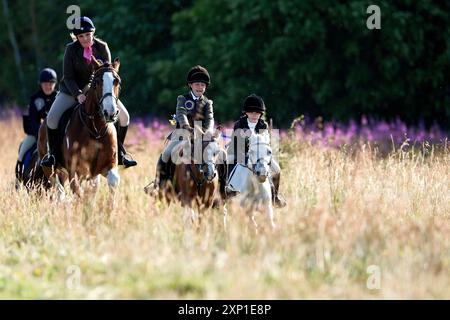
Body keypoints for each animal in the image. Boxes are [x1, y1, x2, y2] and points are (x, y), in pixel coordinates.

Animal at [37, 58, 122, 196]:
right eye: (97, 82)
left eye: (117, 81)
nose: (110, 113)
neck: (95, 130)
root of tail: (43, 124)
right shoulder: (75, 171)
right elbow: (78, 192)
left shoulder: (108, 166)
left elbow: (112, 182)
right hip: (50, 169)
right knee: (59, 190)